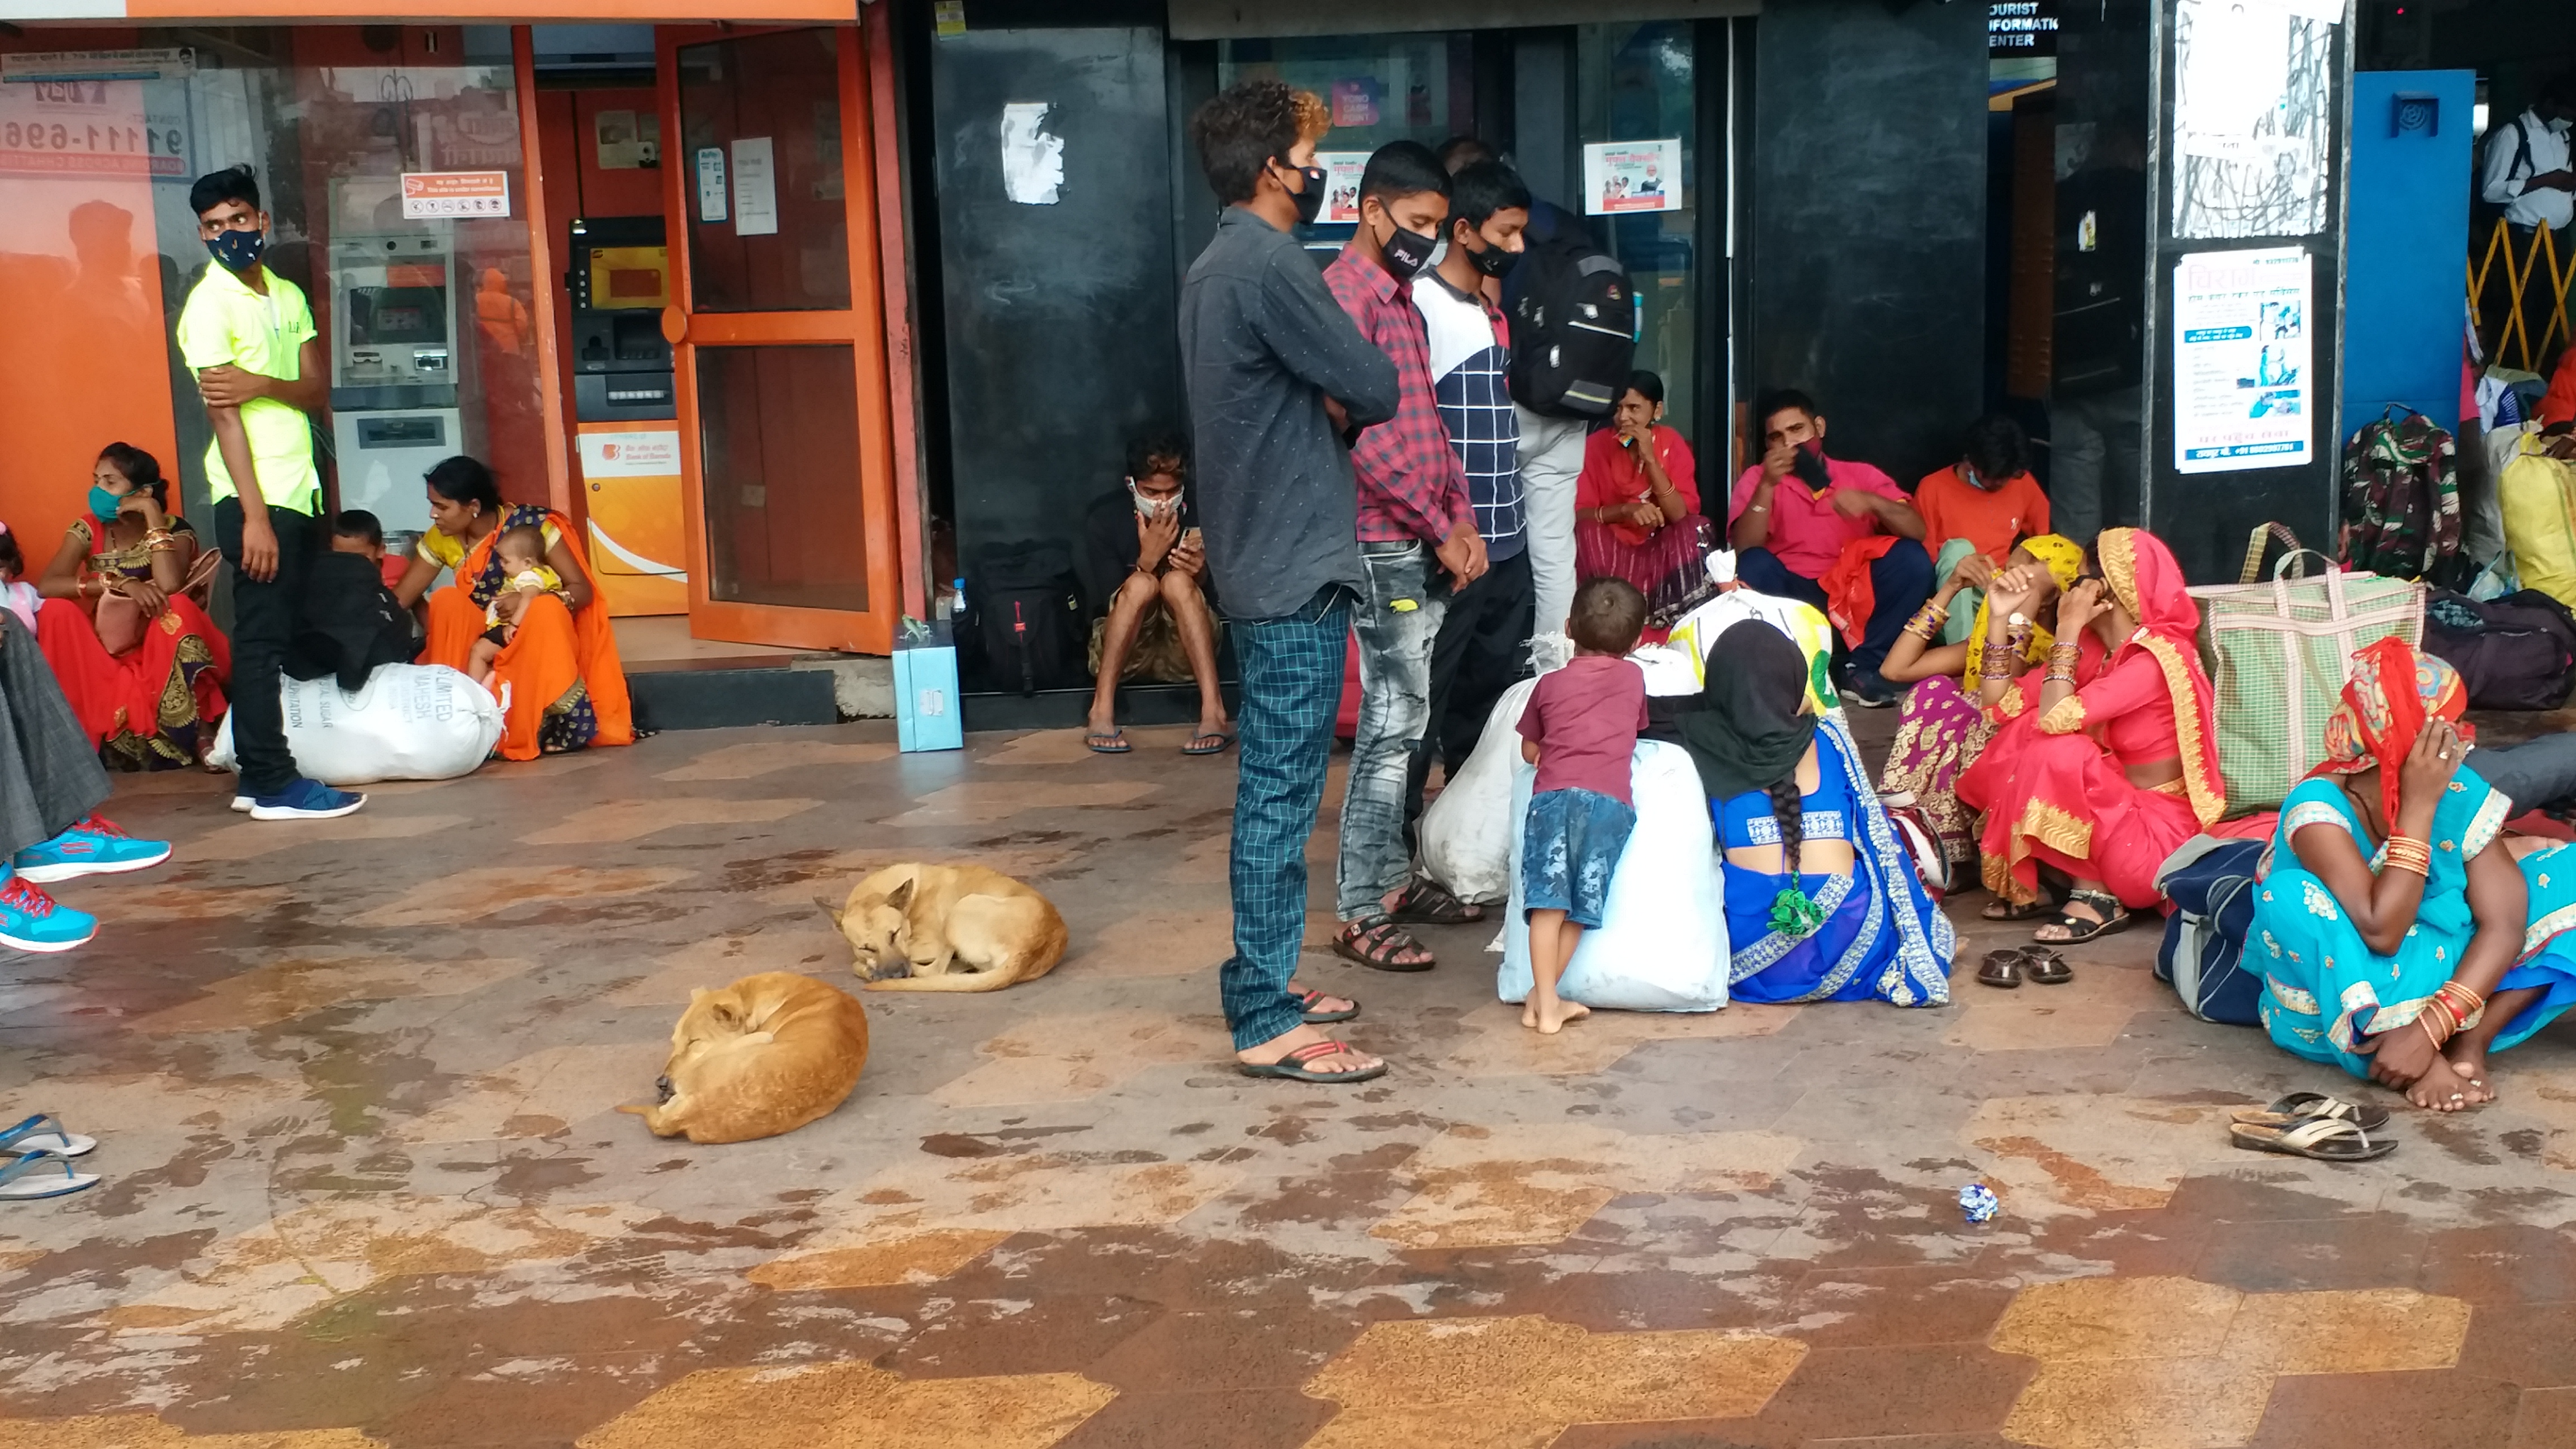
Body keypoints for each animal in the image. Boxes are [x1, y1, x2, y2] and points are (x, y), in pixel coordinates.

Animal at [824, 856, 1066, 990]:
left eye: (894, 934)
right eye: (867, 947)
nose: (897, 975)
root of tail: (1030, 950)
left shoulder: (928, 944)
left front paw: (869, 969)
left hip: (958, 912)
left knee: (935, 970)